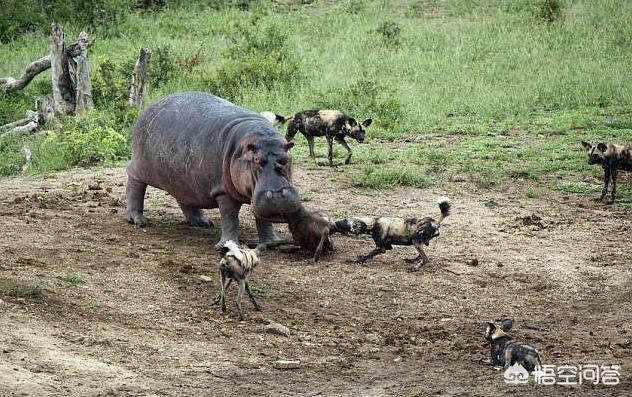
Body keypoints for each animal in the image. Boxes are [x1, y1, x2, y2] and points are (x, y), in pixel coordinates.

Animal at [127, 92, 302, 248]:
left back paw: (203, 222)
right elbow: (230, 218)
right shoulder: (223, 191)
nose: (279, 195)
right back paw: (139, 221)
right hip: (140, 166)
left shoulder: (257, 196)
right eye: (257, 160)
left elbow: (264, 220)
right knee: (135, 185)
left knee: (185, 198)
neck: (260, 137)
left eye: (286, 158)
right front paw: (227, 246)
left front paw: (273, 242)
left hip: (183, 179)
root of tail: (149, 108)